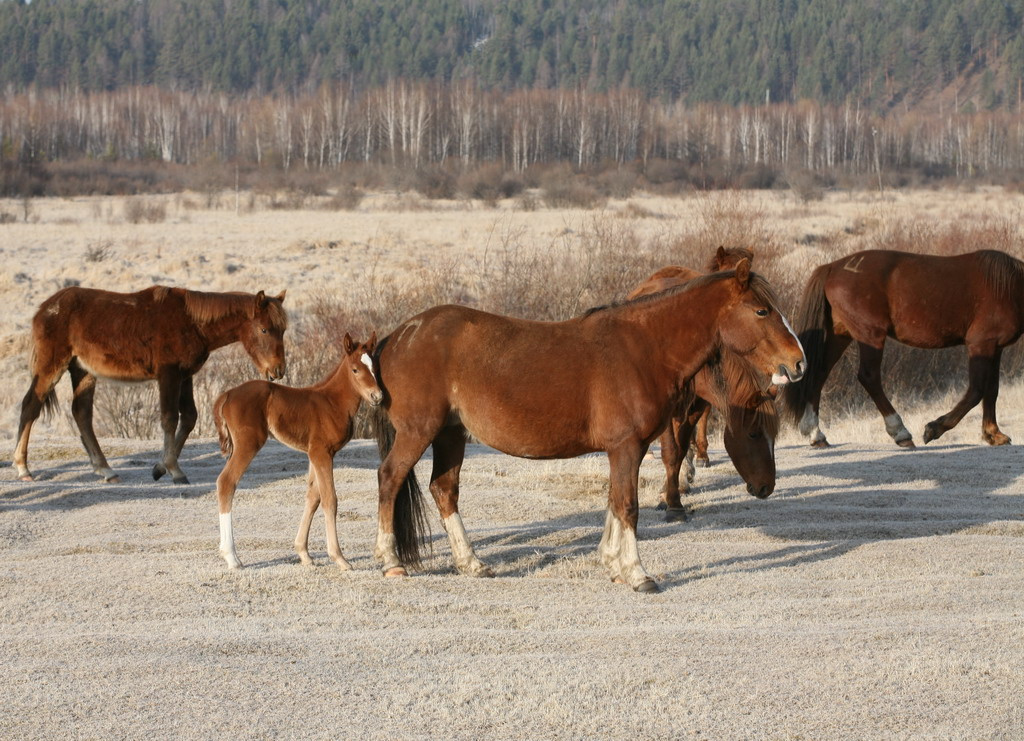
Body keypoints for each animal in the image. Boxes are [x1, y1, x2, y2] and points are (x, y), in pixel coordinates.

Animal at [14, 285, 287, 484]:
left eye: (282, 330)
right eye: (264, 329)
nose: (278, 370)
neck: (191, 322)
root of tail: (45, 308)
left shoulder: (185, 376)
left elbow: (189, 418)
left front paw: (159, 468)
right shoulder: (169, 376)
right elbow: (169, 419)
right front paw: (174, 470)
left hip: (83, 371)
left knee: (81, 414)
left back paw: (105, 470)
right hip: (52, 366)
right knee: (30, 406)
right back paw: (23, 468)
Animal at [213, 333, 381, 570]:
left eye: (374, 367)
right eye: (356, 369)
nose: (377, 396)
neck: (332, 402)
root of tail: (227, 394)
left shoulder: (316, 454)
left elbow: (313, 497)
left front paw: (304, 553)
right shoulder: (322, 453)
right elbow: (330, 499)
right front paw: (339, 558)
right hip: (248, 444)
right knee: (227, 482)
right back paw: (232, 557)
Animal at [626, 249, 778, 521]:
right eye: (753, 433)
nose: (767, 487)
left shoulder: (696, 407)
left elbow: (679, 451)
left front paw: (673, 496)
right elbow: (670, 451)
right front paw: (671, 502)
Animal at [782, 249, 1024, 448]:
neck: (1010, 286)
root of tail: (832, 267)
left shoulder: (995, 348)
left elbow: (992, 389)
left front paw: (994, 434)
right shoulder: (981, 343)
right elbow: (977, 390)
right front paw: (934, 428)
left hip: (840, 334)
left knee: (819, 374)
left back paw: (816, 434)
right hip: (870, 335)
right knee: (869, 377)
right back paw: (900, 432)